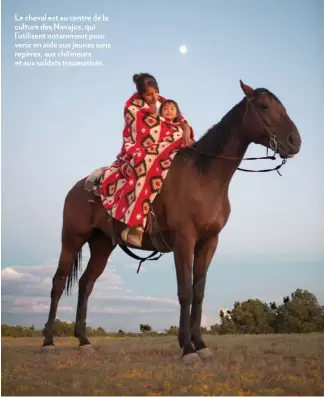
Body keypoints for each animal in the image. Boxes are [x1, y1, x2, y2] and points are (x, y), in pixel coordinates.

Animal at [40, 80, 302, 362]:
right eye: (263, 106)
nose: (294, 141)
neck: (205, 177)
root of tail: (77, 188)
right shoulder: (184, 240)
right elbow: (185, 290)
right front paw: (187, 348)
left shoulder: (209, 241)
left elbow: (199, 291)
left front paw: (200, 344)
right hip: (72, 239)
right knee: (58, 284)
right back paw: (48, 342)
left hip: (102, 245)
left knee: (85, 284)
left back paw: (84, 340)